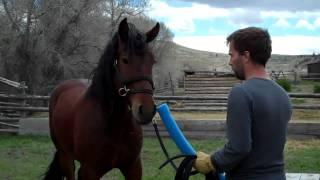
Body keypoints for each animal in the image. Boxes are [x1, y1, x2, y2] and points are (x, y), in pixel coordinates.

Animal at [43, 18, 160, 180]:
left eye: (152, 61)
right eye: (124, 60)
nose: (147, 110)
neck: (114, 125)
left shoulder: (134, 167)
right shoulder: (90, 171)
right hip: (65, 155)